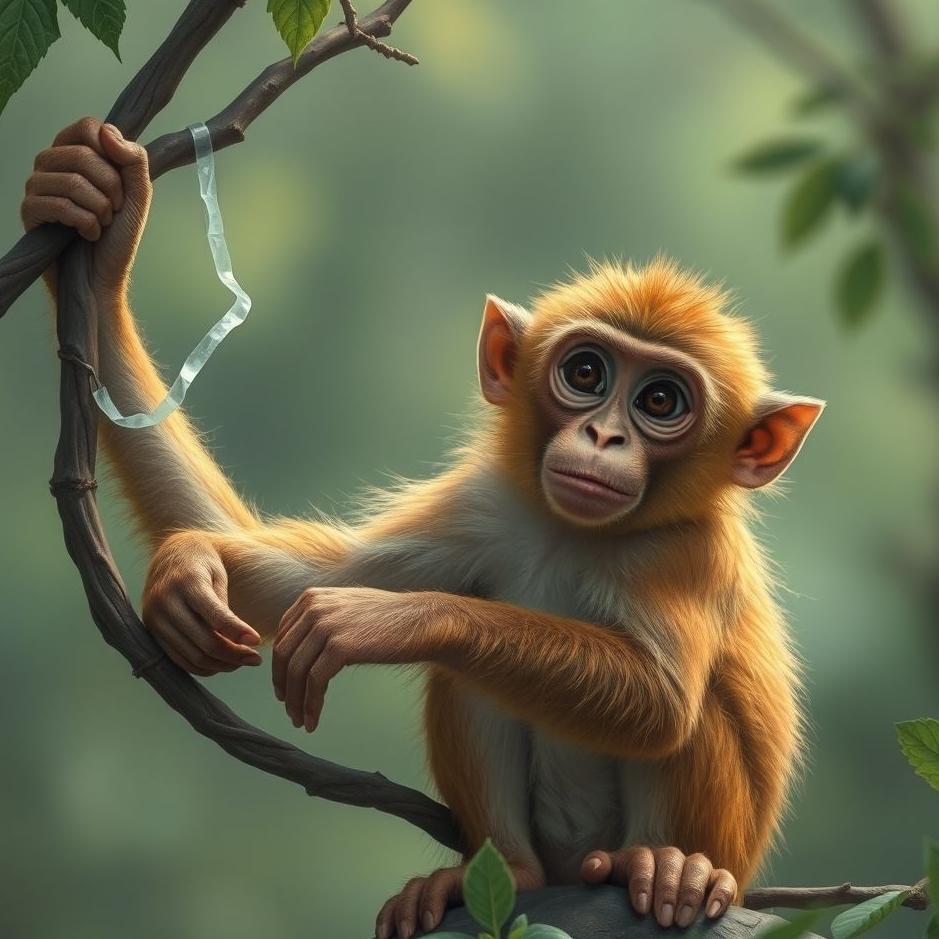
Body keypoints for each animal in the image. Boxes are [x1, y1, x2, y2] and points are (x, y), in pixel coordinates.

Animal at [23, 117, 823, 939]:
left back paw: (667, 867)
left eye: (661, 401)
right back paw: (502, 873)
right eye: (588, 374)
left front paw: (394, 618)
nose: (603, 437)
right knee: (472, 680)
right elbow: (299, 582)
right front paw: (97, 218)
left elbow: (661, 702)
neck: (574, 534)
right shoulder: (485, 507)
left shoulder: (686, 551)